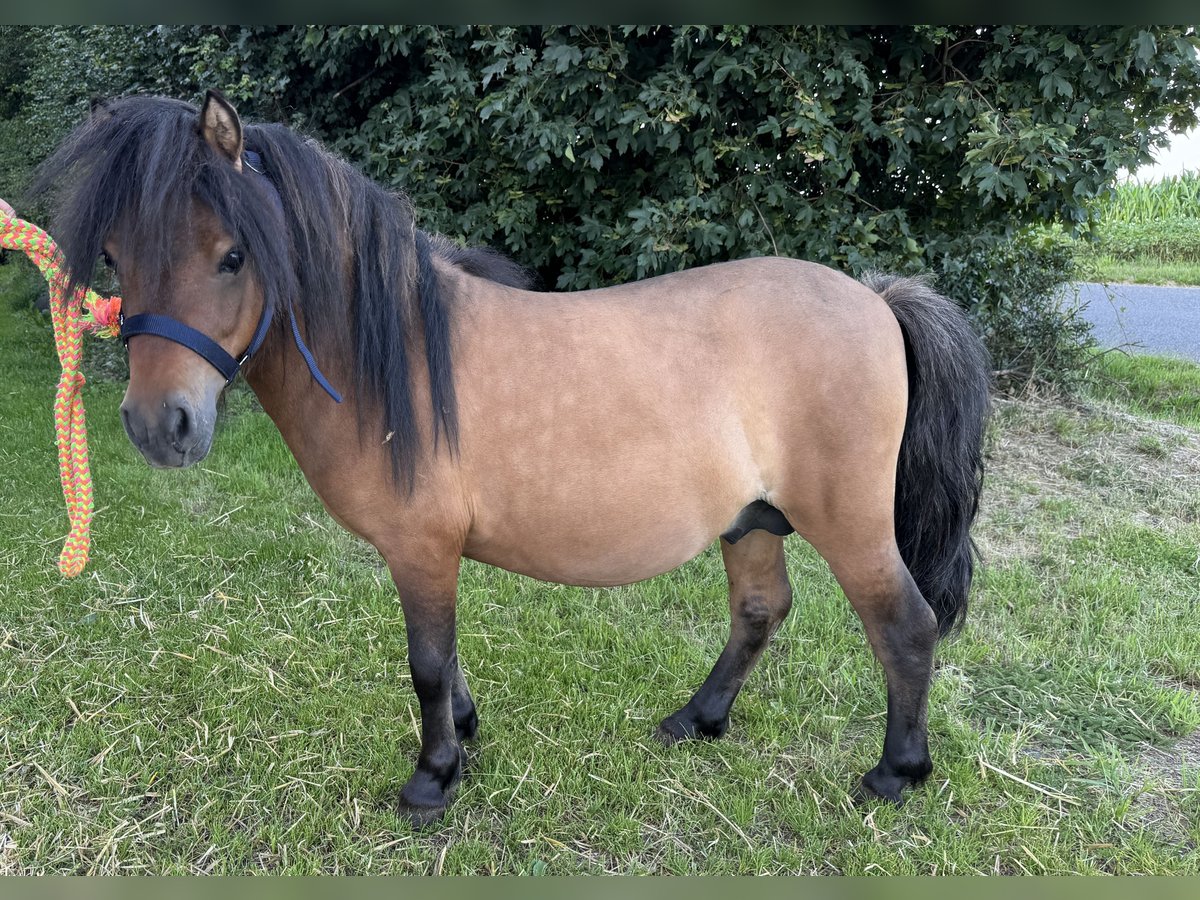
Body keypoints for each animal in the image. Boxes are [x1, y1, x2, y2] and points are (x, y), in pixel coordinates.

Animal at [39, 90, 993, 825]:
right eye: (115, 256)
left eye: (233, 257)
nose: (160, 426)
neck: (396, 358)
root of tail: (875, 298)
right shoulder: (430, 555)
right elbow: (448, 659)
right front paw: (464, 734)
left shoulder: (421, 548)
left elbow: (426, 663)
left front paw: (432, 779)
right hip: (750, 521)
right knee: (760, 611)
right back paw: (696, 720)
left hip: (851, 525)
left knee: (903, 627)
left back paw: (895, 773)